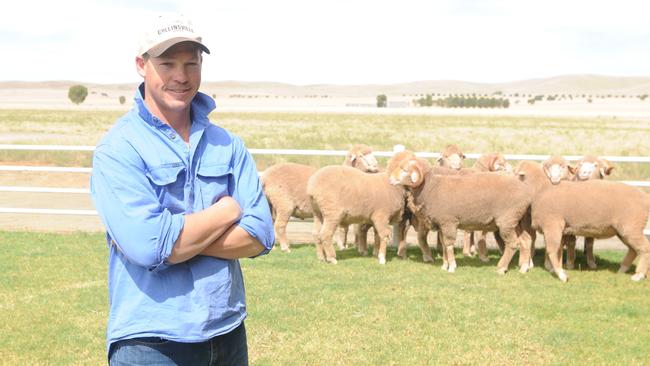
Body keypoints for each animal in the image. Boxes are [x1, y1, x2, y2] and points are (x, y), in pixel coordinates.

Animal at [388, 157, 528, 274]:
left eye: (405, 170)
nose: (390, 179)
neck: (431, 188)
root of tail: (525, 193)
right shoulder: (441, 224)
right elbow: (444, 245)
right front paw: (444, 265)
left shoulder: (448, 222)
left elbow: (449, 245)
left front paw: (452, 267)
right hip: (517, 222)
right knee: (524, 241)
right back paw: (524, 267)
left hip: (507, 221)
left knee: (513, 244)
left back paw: (501, 268)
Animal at [512, 161, 644, 284]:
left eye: (516, 174)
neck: (541, 189)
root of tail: (645, 196)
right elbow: (558, 250)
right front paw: (556, 269)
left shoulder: (552, 225)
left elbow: (552, 250)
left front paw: (561, 275)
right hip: (624, 231)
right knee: (633, 250)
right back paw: (622, 270)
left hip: (632, 228)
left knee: (644, 248)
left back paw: (639, 275)